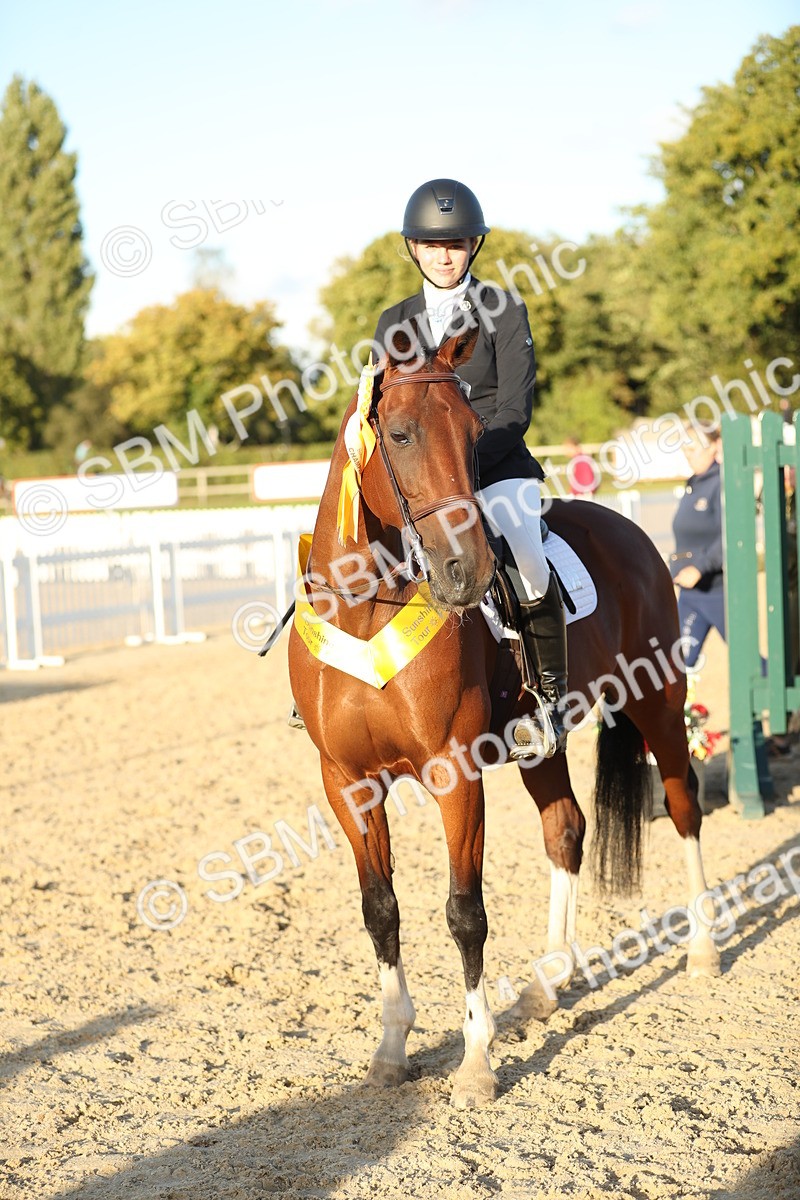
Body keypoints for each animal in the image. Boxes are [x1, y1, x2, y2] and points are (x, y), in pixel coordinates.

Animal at [288, 328, 720, 1110]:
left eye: (474, 434)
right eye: (401, 434)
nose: (467, 573)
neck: (367, 611)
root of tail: (629, 528)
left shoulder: (454, 775)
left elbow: (465, 912)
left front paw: (476, 1063)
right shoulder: (348, 783)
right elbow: (380, 908)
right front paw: (391, 1049)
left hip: (662, 701)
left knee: (683, 805)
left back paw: (702, 948)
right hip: (542, 743)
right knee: (567, 830)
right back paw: (548, 986)